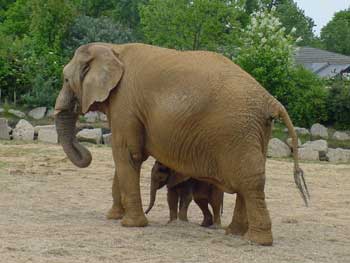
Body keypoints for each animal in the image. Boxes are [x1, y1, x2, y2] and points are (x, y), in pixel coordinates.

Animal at [53, 42, 308, 246]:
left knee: (249, 180)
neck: (113, 49)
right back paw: (234, 233)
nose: (87, 151)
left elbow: (127, 153)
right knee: (248, 179)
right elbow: (127, 157)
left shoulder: (125, 103)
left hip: (238, 131)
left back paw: (256, 241)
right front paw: (113, 217)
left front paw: (130, 225)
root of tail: (270, 100)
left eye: (65, 79)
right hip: (257, 131)